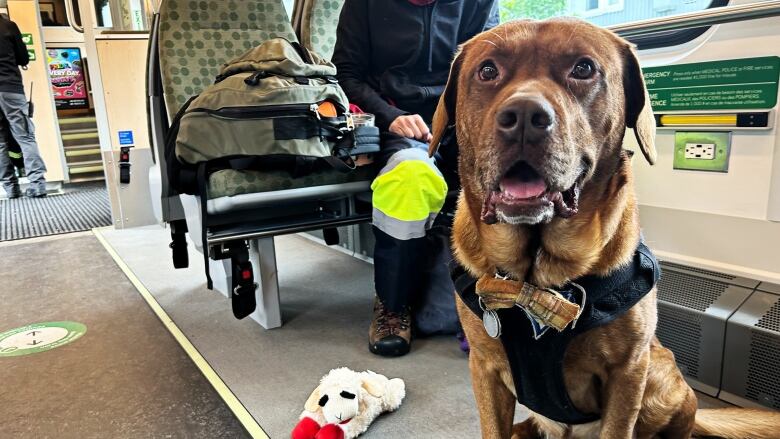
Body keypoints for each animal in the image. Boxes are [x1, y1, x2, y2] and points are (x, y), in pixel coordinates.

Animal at [430, 18, 776, 439]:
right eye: (487, 71)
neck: (535, 279)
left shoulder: (628, 373)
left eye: (583, 68)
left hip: (663, 378)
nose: (524, 116)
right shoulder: (485, 369)